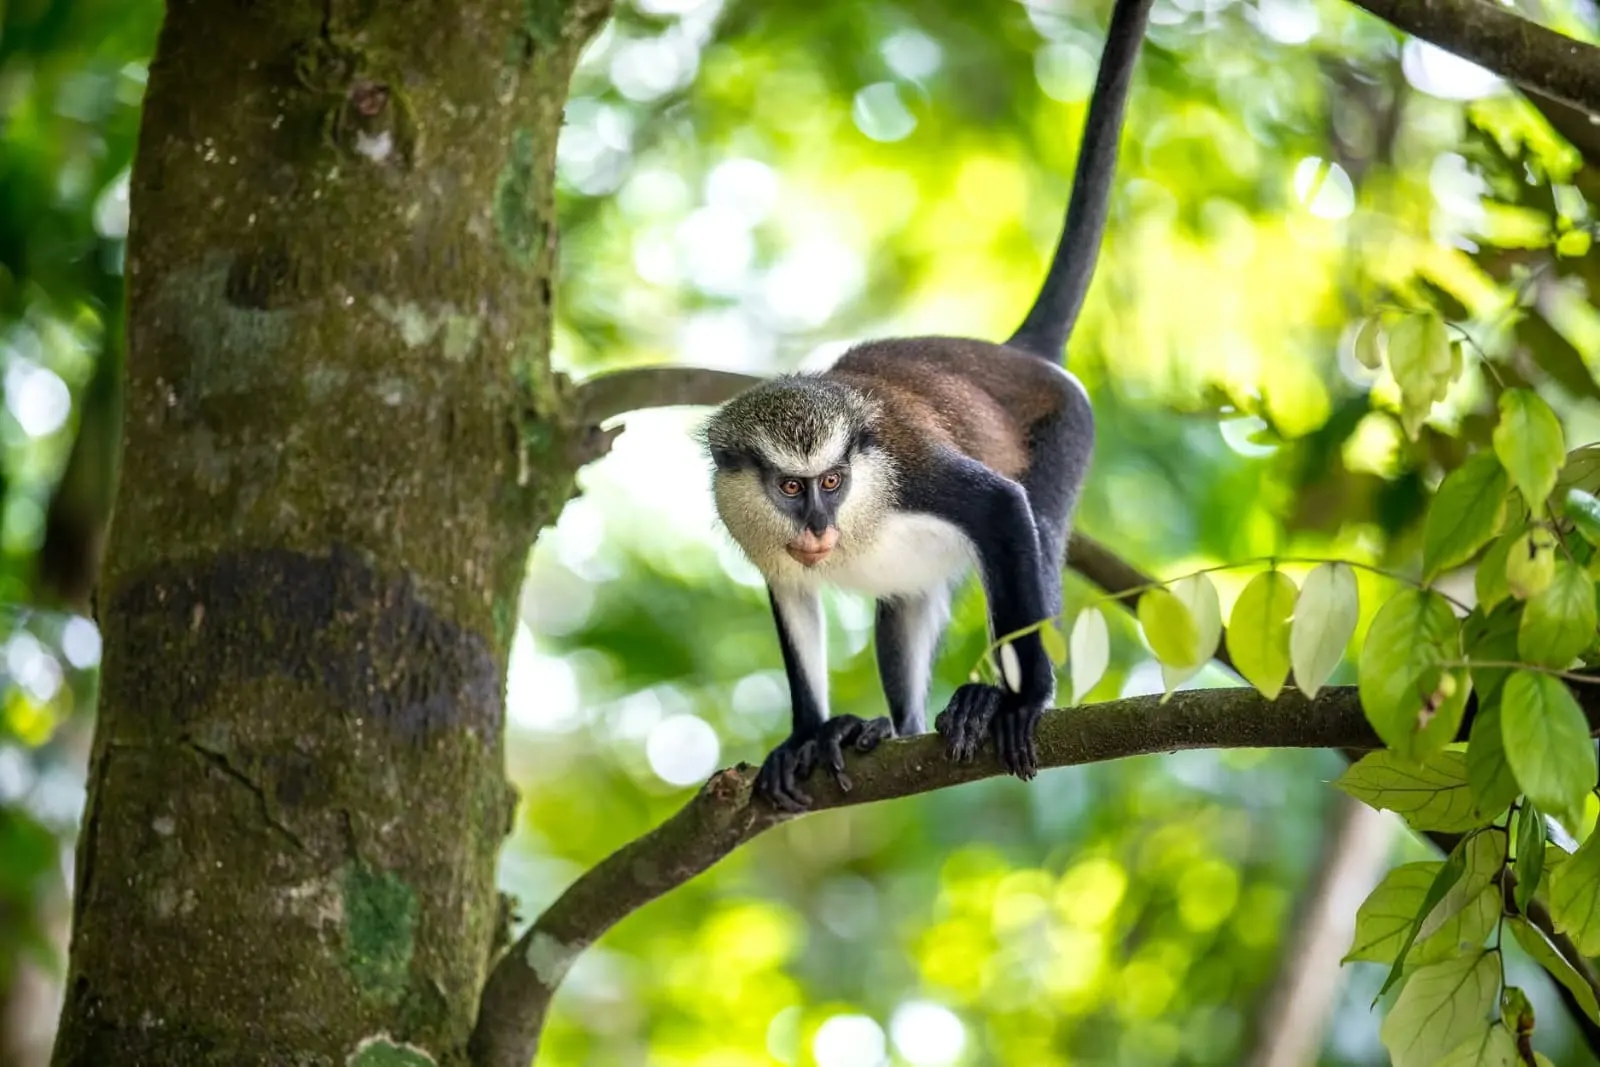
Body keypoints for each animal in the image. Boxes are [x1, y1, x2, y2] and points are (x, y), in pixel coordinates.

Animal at [703, 0, 1155, 812]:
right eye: (789, 486)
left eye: (831, 482)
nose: (817, 528)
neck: (857, 506)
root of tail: (1014, 353)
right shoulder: (756, 530)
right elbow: (794, 597)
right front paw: (805, 734)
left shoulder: (913, 471)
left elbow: (1001, 506)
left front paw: (1026, 699)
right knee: (904, 608)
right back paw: (886, 730)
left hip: (1069, 423)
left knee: (1039, 530)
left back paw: (993, 701)